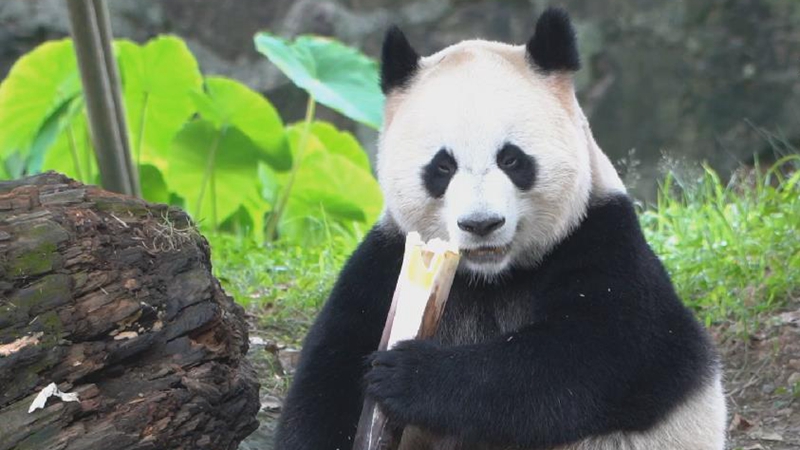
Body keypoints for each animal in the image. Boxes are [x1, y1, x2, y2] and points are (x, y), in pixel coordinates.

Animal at [274, 7, 724, 450]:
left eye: (511, 159)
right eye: (442, 166)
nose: (481, 224)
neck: (488, 278)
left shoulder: (600, 239)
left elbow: (586, 357)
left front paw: (405, 374)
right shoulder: (386, 261)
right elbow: (329, 374)